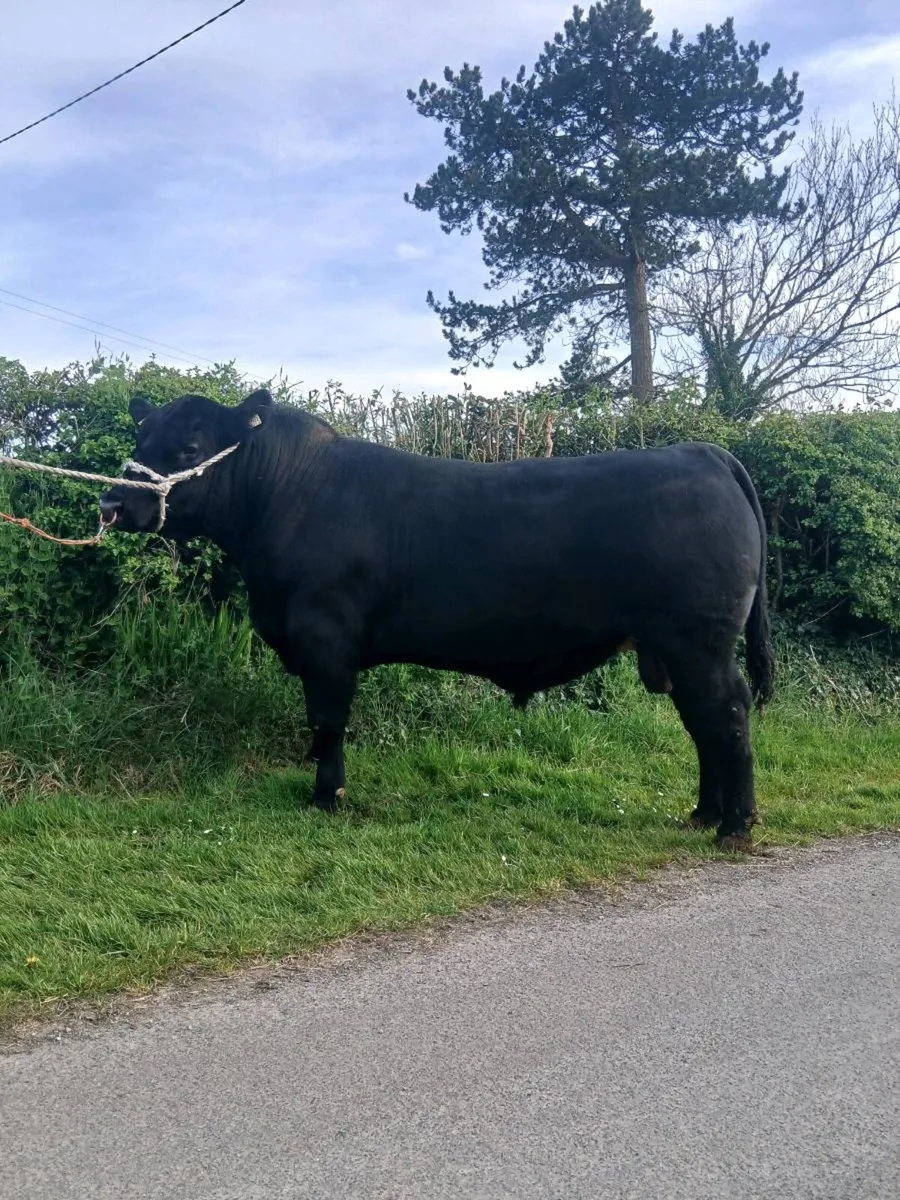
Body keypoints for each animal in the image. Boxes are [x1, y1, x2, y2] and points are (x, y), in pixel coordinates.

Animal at [99, 388, 774, 851]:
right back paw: (704, 815)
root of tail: (705, 453)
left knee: (727, 717)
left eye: (190, 447)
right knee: (705, 727)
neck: (285, 497)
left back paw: (734, 827)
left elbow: (328, 722)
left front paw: (326, 798)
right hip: (675, 649)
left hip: (699, 642)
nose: (112, 502)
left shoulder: (326, 639)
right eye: (139, 441)